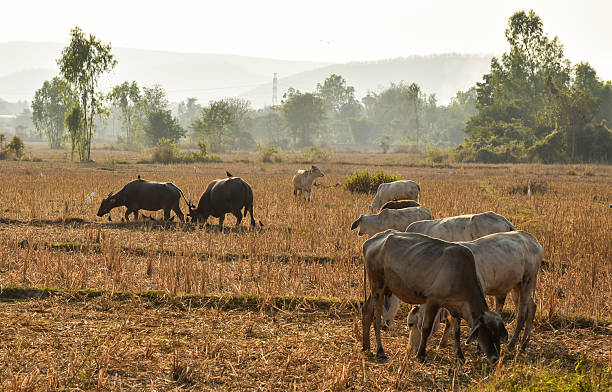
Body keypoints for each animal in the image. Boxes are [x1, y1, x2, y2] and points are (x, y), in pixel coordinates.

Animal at [360, 231, 510, 362]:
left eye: (498, 335)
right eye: (487, 332)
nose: (495, 358)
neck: (461, 275)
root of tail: (370, 241)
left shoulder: (455, 308)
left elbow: (456, 332)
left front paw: (460, 357)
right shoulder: (433, 301)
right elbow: (426, 328)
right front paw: (421, 355)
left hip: (382, 288)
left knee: (366, 311)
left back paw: (366, 346)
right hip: (377, 286)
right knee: (376, 318)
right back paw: (380, 351)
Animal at [404, 230, 544, 356]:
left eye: (411, 324)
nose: (410, 350)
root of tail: (532, 239)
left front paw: (479, 349)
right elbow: (450, 320)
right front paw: (442, 343)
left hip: (528, 280)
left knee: (522, 314)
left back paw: (512, 344)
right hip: (517, 285)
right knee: (532, 307)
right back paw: (524, 344)